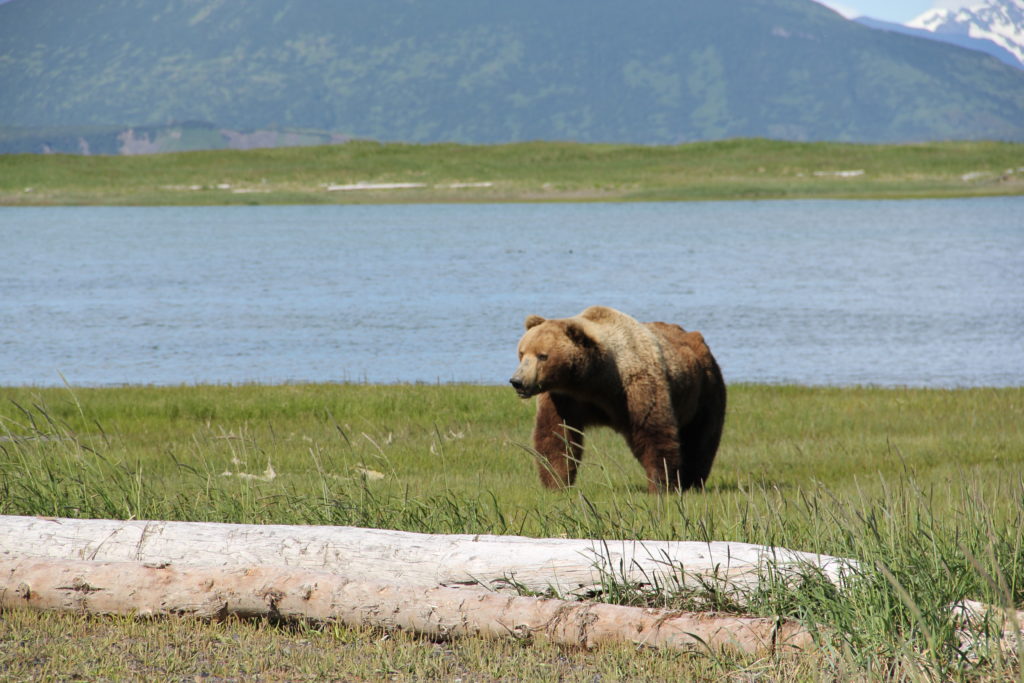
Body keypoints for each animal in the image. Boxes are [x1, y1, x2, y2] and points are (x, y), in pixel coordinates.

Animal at [507, 307, 724, 493]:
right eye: (522, 352)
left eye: (543, 356)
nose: (517, 381)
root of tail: (694, 336)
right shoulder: (564, 398)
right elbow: (557, 436)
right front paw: (555, 482)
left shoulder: (636, 386)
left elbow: (652, 431)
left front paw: (660, 485)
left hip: (704, 387)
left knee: (700, 436)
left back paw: (691, 481)